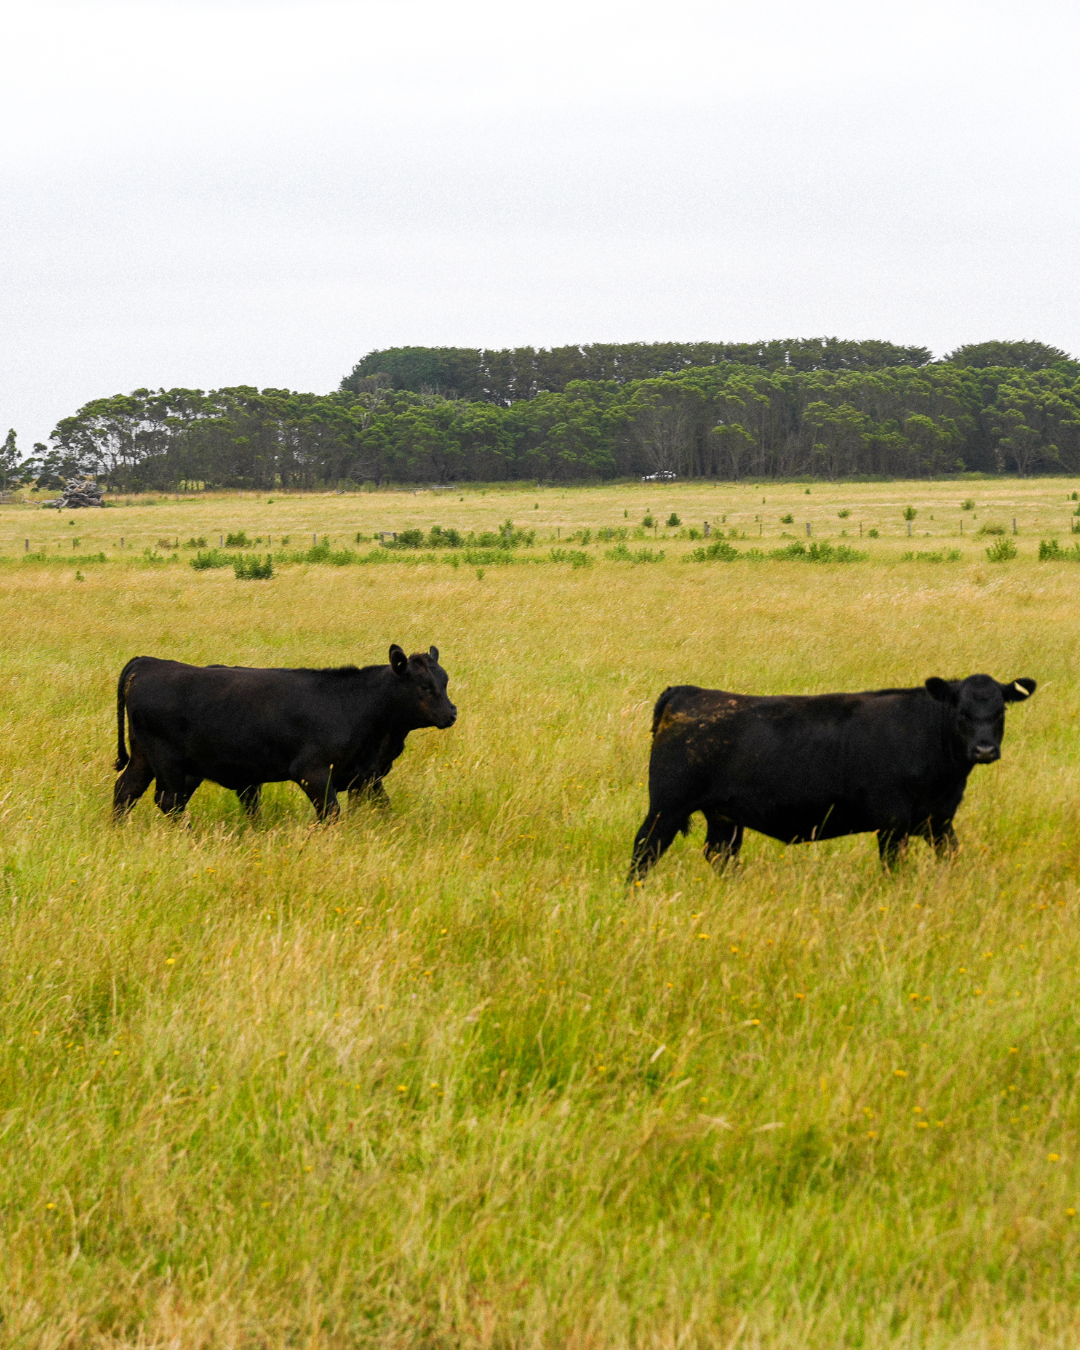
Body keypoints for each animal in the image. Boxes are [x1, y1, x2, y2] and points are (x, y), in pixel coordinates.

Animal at [113, 645, 456, 821]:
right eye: (424, 686)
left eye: (445, 681)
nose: (451, 713)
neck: (354, 704)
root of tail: (147, 663)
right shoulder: (312, 771)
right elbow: (331, 811)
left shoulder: (366, 774)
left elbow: (384, 807)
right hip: (169, 764)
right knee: (168, 801)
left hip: (145, 758)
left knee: (125, 791)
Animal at [629, 673, 1036, 877]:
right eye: (960, 711)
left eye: (1001, 711)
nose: (984, 750)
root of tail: (686, 693)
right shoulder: (892, 823)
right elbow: (894, 870)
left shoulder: (939, 820)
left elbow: (951, 859)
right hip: (666, 808)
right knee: (644, 850)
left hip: (724, 818)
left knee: (720, 857)